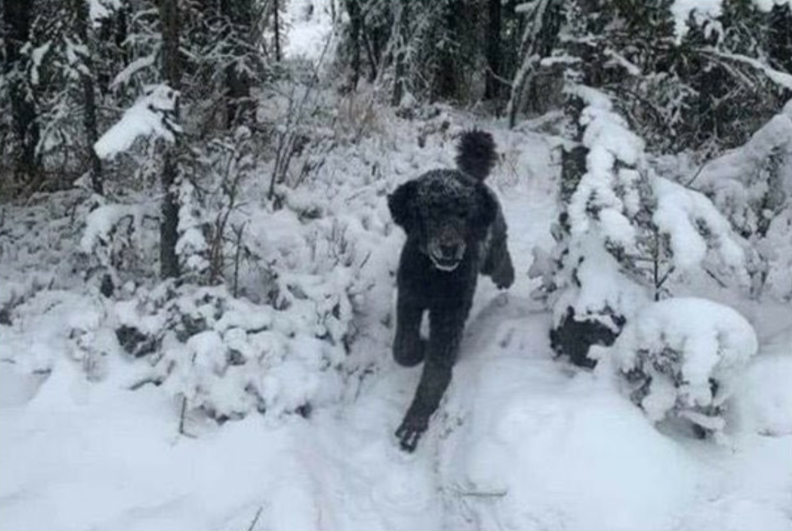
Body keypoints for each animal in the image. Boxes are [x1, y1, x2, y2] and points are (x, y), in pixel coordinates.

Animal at [388, 131, 512, 450]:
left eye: (463, 213)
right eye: (429, 211)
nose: (449, 247)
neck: (434, 276)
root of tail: (471, 176)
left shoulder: (449, 316)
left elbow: (436, 372)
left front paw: (415, 422)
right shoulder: (409, 298)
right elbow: (402, 349)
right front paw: (418, 349)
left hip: (491, 243)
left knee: (499, 257)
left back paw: (507, 275)